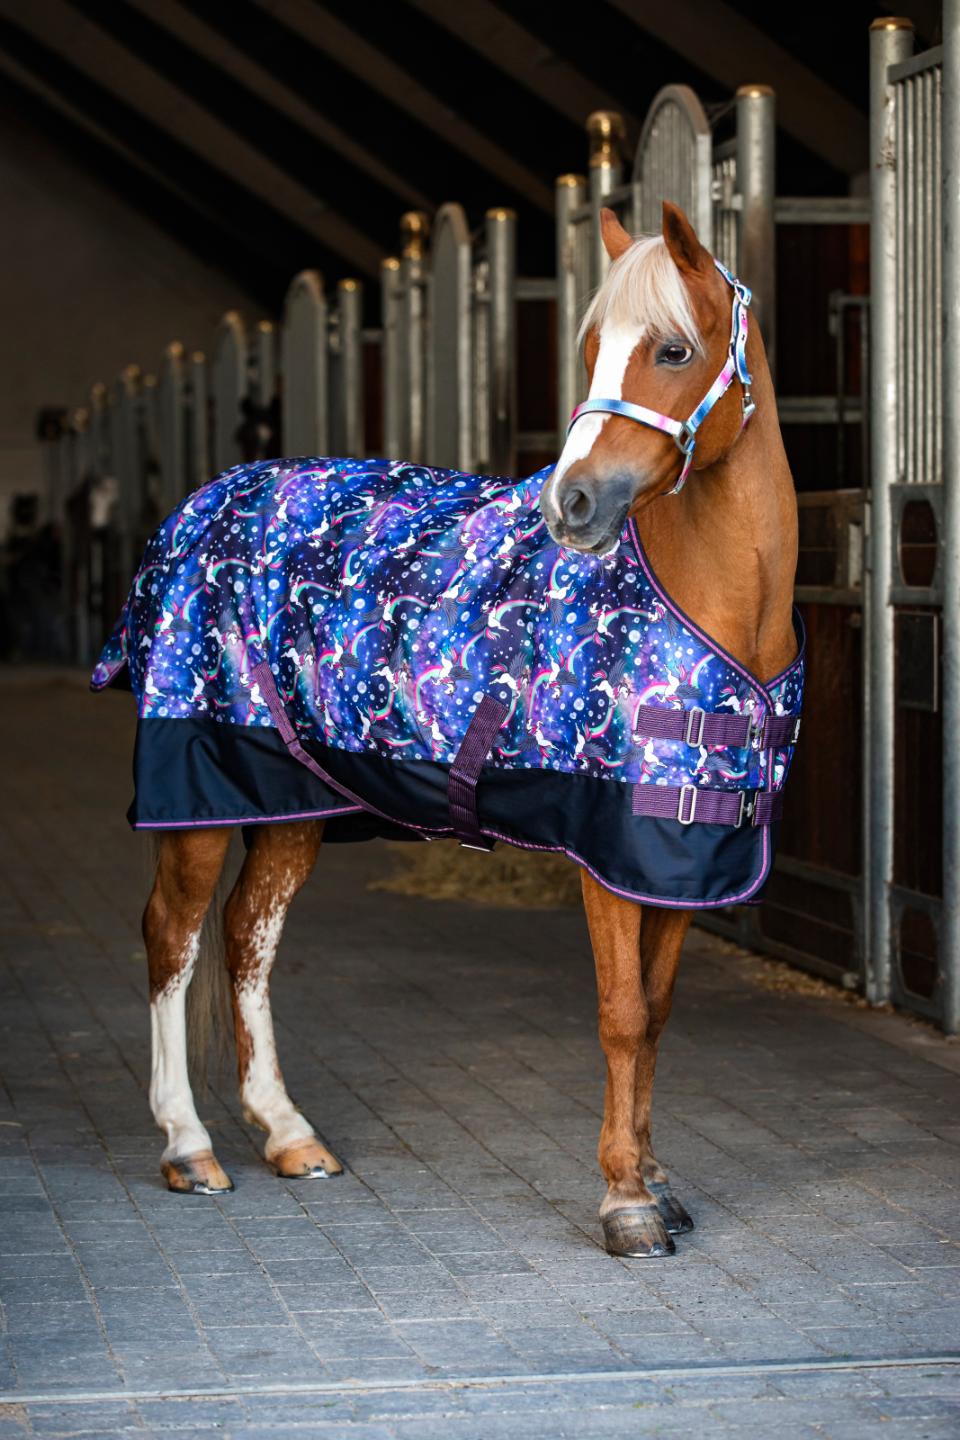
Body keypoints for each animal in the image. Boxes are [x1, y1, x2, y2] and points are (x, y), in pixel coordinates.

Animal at [102, 200, 799, 1260]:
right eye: (589, 348)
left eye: (674, 349)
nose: (571, 504)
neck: (714, 602)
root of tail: (199, 507)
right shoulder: (608, 851)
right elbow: (623, 1014)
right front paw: (626, 1200)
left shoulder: (682, 853)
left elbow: (660, 1012)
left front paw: (657, 1178)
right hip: (202, 786)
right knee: (172, 938)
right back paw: (189, 1146)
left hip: (294, 799)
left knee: (247, 934)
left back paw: (288, 1133)